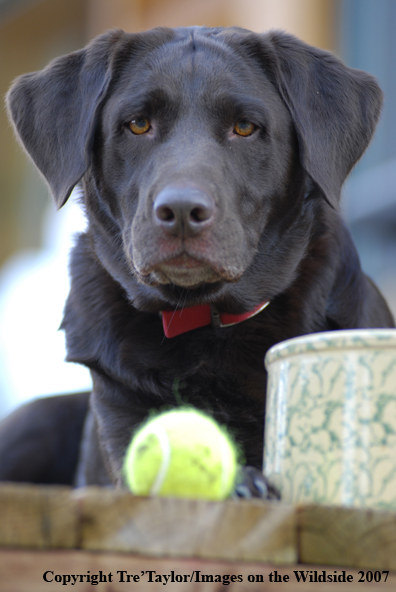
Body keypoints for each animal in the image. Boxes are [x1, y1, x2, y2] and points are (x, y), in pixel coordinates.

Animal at [1, 25, 394, 492]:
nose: (182, 210)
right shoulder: (120, 435)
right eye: (138, 124)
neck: (206, 320)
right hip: (33, 419)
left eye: (245, 127)